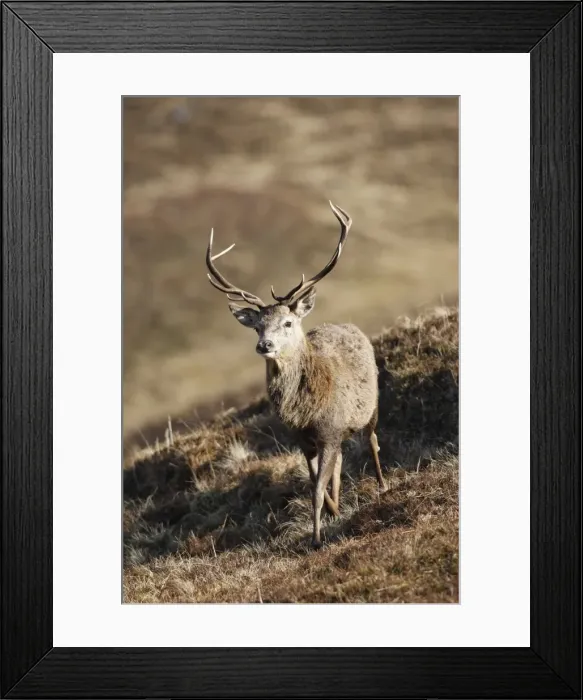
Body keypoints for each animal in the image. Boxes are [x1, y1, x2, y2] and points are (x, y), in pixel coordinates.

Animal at [206, 201, 386, 548]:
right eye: (258, 326)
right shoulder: (304, 439)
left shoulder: (330, 429)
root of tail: (350, 325)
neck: (305, 411)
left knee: (372, 440)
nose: (264, 345)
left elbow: (316, 488)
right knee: (341, 462)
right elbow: (315, 481)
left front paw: (316, 539)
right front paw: (332, 512)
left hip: (372, 405)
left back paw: (383, 484)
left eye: (287, 323)